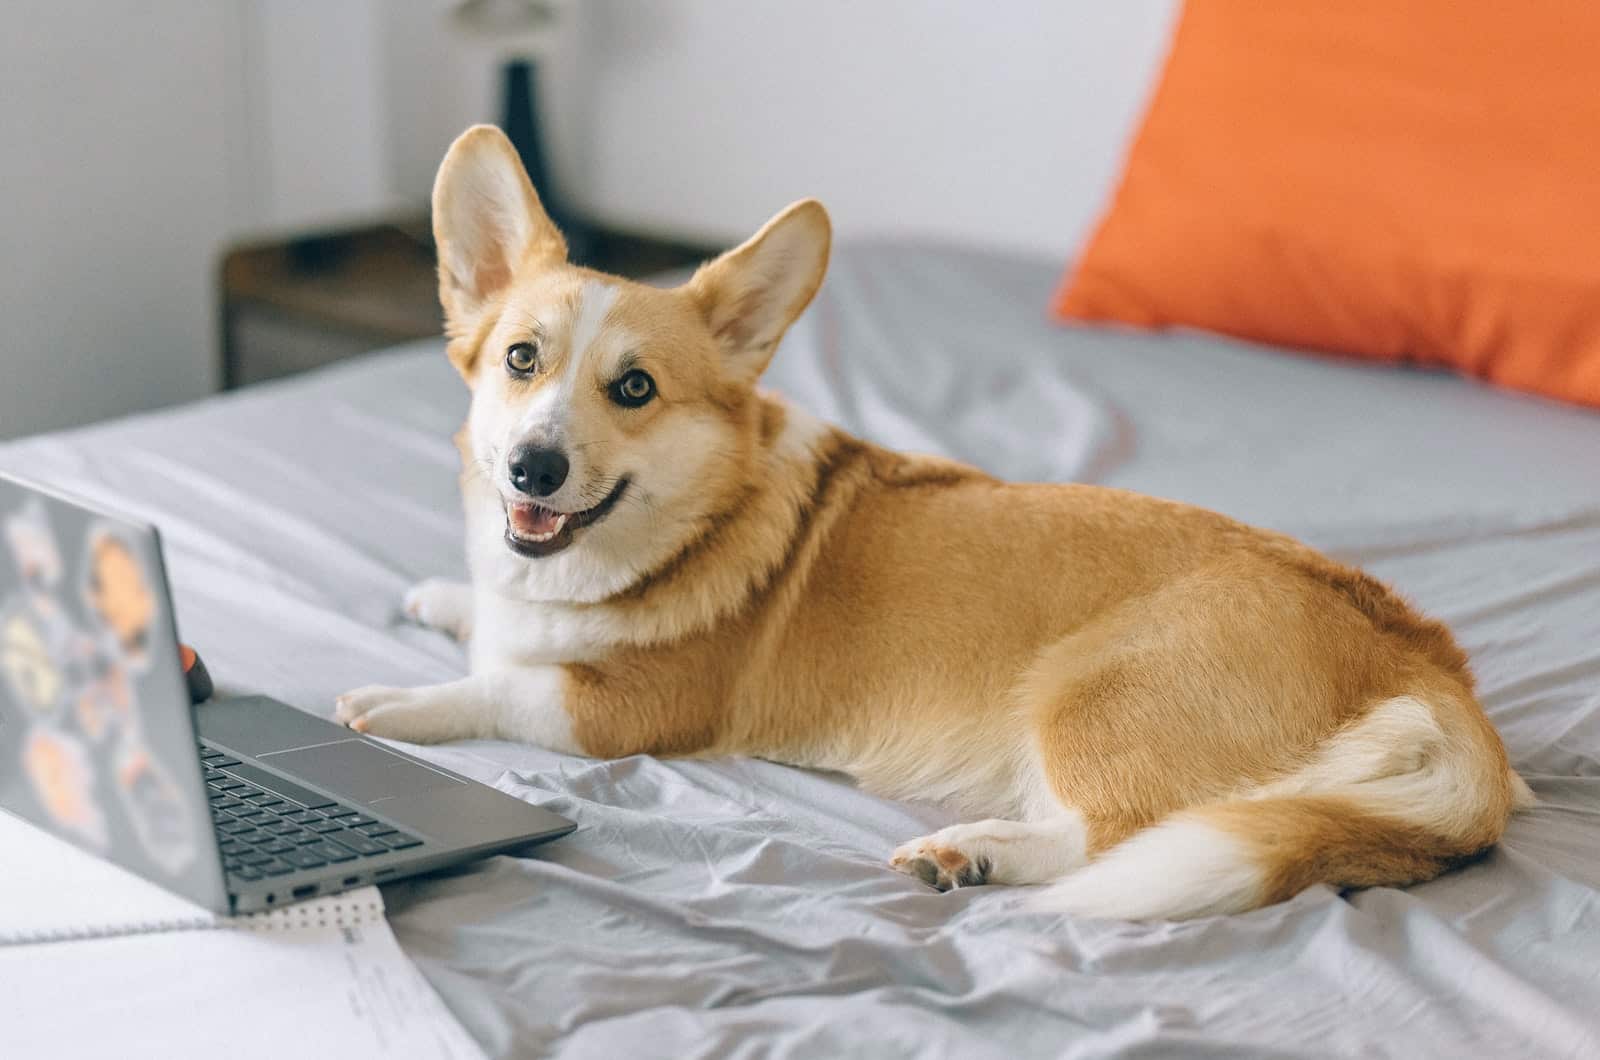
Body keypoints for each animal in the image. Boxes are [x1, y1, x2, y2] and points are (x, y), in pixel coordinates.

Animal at [334, 126, 1523, 922]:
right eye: (519, 360)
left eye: (634, 390)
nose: (532, 466)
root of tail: (1430, 670)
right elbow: (481, 622)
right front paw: (438, 596)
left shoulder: (623, 713)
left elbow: (500, 686)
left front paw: (393, 702)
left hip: (1089, 692)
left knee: (1118, 838)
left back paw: (978, 853)